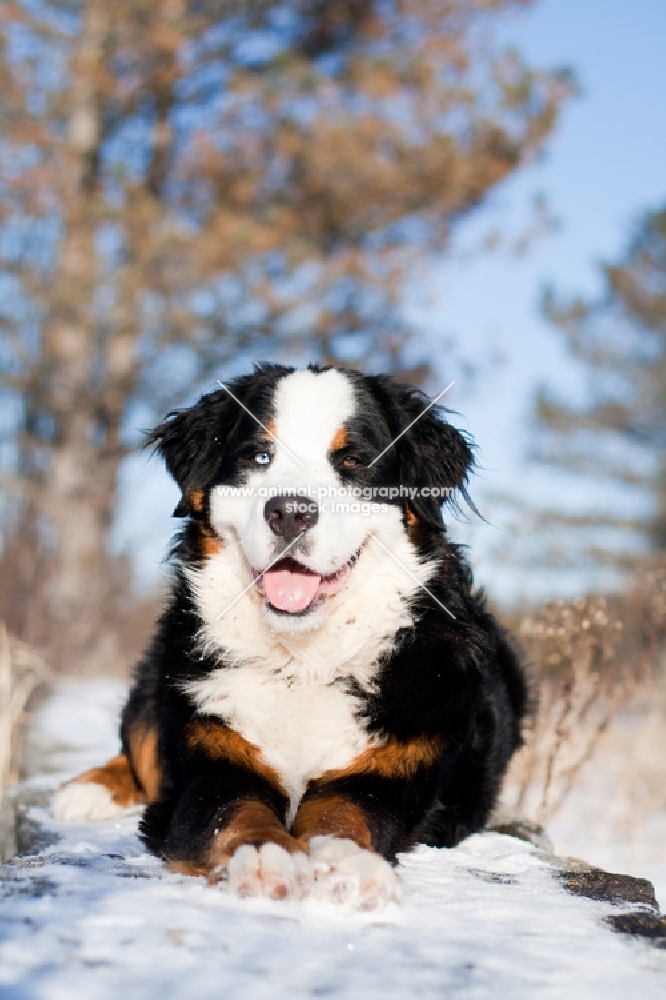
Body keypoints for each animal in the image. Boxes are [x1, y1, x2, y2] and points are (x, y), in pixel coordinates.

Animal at [53, 366, 524, 908]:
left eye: (353, 461)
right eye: (260, 456)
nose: (291, 513)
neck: (303, 662)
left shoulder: (389, 773)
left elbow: (346, 814)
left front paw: (349, 866)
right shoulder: (214, 760)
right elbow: (236, 810)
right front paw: (266, 857)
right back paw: (84, 790)